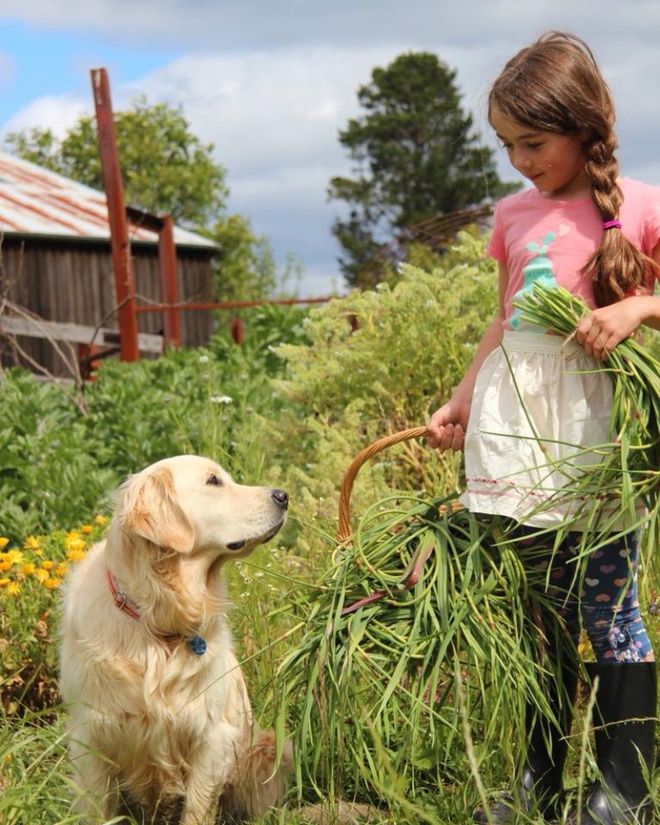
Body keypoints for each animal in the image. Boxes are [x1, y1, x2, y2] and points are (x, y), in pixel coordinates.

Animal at [58, 454, 292, 820]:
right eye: (214, 481)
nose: (283, 496)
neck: (158, 623)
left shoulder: (211, 737)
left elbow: (197, 810)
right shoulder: (90, 736)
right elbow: (97, 810)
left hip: (268, 748)